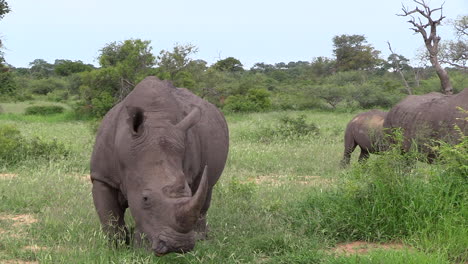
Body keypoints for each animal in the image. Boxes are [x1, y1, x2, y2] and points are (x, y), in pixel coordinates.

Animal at [89, 76, 229, 256]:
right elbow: (110, 218)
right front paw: (116, 250)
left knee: (208, 187)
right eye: (145, 198)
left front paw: (140, 250)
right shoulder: (102, 177)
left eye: (188, 192)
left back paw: (202, 239)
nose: (179, 245)